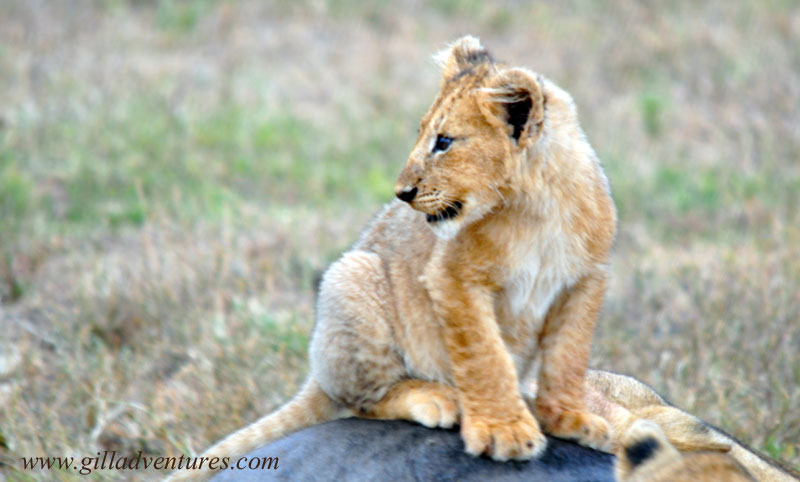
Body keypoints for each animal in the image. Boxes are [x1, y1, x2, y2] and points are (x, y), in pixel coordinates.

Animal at [167, 35, 617, 480]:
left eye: (444, 142)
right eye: (422, 134)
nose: (401, 193)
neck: (537, 208)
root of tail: (316, 377)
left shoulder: (585, 281)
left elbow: (568, 355)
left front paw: (570, 419)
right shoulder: (451, 276)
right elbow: (485, 356)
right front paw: (503, 431)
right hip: (353, 273)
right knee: (364, 400)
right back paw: (435, 398)